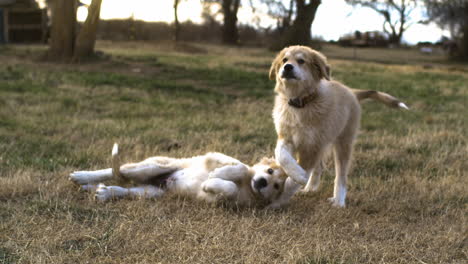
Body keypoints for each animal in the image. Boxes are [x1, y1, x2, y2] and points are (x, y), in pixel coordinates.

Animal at [70, 143, 288, 207]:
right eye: (270, 171)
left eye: (276, 186)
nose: (263, 182)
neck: (246, 184)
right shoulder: (215, 156)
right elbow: (240, 167)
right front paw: (217, 174)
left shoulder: (222, 200)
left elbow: (229, 188)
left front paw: (210, 183)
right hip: (151, 167)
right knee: (118, 170)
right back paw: (81, 177)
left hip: (152, 192)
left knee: (123, 188)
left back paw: (100, 191)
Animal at [268, 46, 408, 208]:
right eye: (284, 60)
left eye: (301, 61)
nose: (287, 67)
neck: (301, 103)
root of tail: (352, 92)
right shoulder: (288, 138)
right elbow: (281, 155)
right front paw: (296, 173)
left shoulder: (311, 147)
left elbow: (292, 182)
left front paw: (281, 197)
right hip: (323, 143)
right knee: (319, 167)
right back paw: (310, 189)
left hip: (343, 143)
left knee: (341, 175)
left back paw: (339, 201)